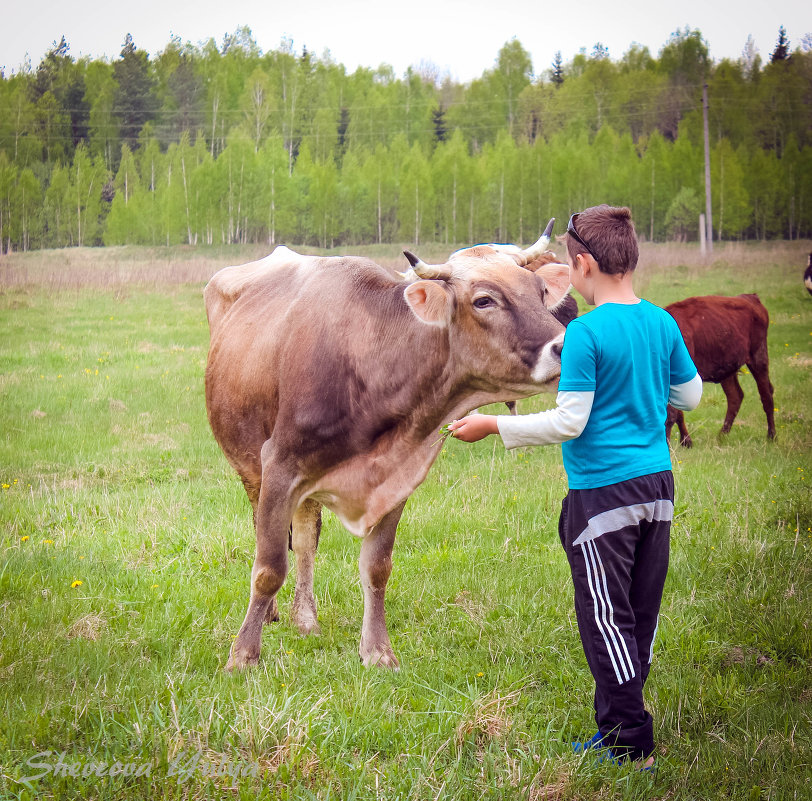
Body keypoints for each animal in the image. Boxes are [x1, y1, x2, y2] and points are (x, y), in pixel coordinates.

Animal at [203, 225, 572, 668]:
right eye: (484, 300)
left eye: (540, 291)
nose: (567, 347)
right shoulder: (279, 464)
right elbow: (269, 566)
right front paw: (242, 656)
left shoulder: (397, 476)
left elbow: (377, 567)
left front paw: (378, 652)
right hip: (250, 465)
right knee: (267, 530)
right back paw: (273, 614)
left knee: (307, 538)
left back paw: (305, 619)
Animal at [668, 294, 772, 446]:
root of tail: (751, 298)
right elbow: (678, 413)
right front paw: (686, 442)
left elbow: (671, 414)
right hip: (728, 371)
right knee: (735, 397)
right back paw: (721, 436)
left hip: (758, 358)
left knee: (766, 395)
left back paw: (771, 436)